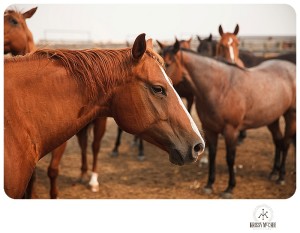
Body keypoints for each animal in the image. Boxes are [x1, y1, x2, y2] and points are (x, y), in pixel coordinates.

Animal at [162, 41, 296, 198]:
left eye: (167, 63)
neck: (220, 88)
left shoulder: (231, 131)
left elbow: (230, 158)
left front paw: (229, 188)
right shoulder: (210, 130)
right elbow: (212, 155)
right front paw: (209, 184)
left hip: (290, 116)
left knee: (286, 143)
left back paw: (281, 176)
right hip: (271, 119)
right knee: (278, 141)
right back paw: (274, 172)